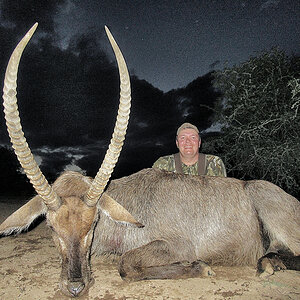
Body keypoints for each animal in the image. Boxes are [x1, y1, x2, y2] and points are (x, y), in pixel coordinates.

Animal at [0, 24, 300, 298]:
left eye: (93, 223)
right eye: (51, 227)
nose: (75, 287)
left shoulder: (178, 245)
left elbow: (126, 264)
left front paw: (200, 267)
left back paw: (269, 264)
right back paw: (271, 262)